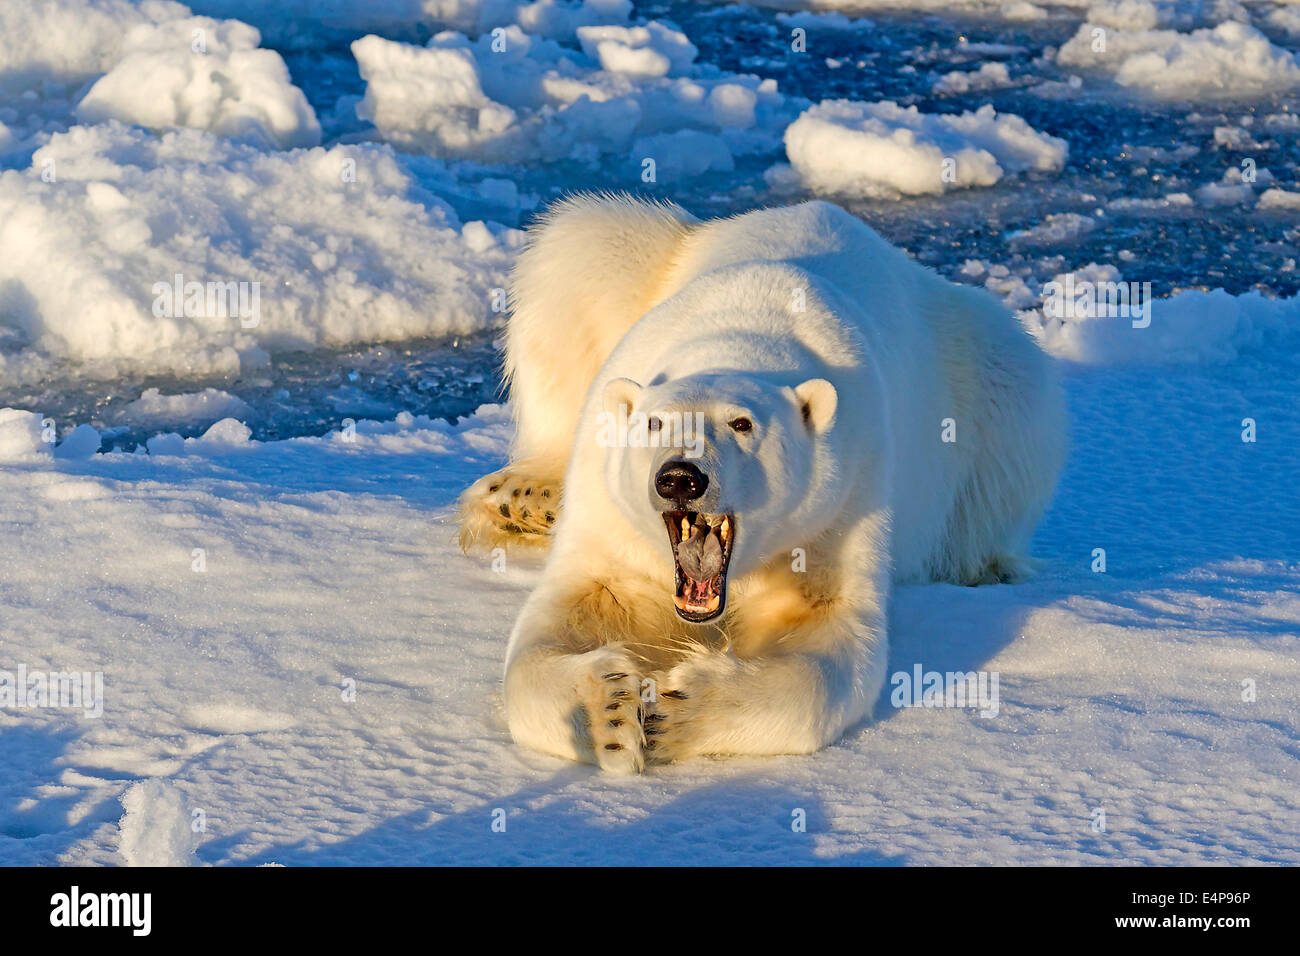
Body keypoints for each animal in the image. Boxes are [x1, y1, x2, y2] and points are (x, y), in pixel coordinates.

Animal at [460, 192, 1066, 770]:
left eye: (742, 424)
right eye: (656, 422)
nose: (681, 478)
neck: (742, 329)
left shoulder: (842, 502)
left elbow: (830, 637)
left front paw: (676, 710)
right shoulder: (611, 514)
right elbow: (571, 611)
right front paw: (609, 710)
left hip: (980, 371)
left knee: (1015, 404)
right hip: (633, 263)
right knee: (575, 253)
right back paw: (525, 498)